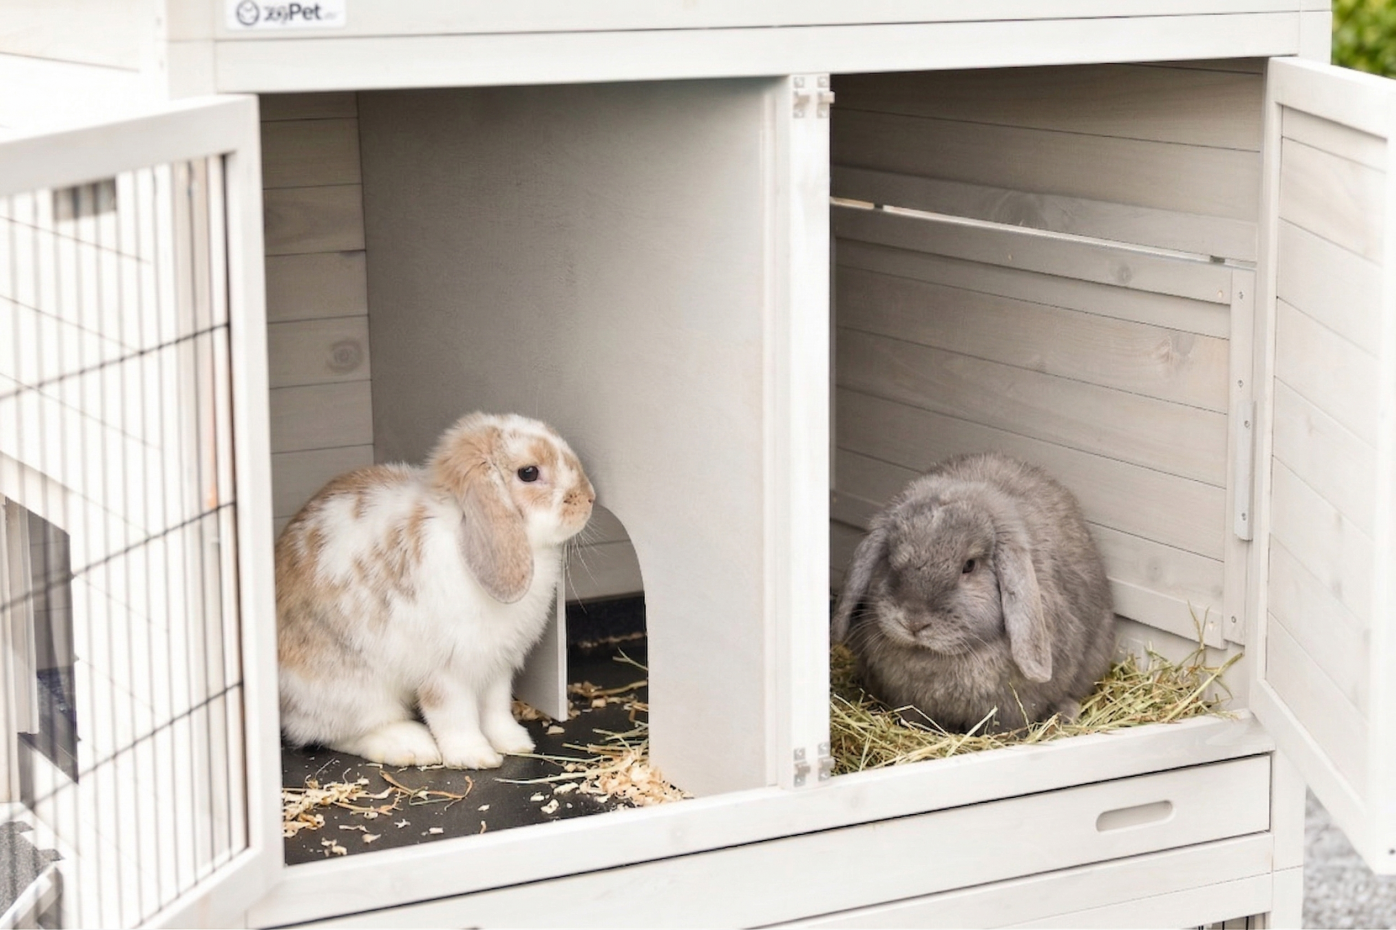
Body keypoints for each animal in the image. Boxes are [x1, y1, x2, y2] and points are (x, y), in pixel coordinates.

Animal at [276, 411, 595, 769]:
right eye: (529, 473)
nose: (590, 498)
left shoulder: (496, 666)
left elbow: (495, 708)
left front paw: (515, 742)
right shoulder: (447, 671)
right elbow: (455, 716)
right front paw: (476, 756)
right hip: (353, 692)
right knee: (332, 732)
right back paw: (411, 745)